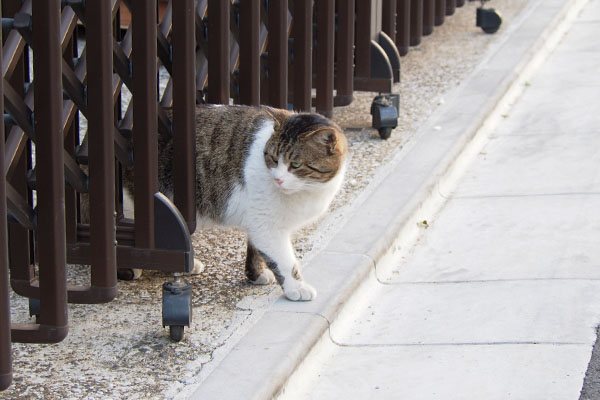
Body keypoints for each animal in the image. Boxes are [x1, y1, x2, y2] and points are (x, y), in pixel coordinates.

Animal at [125, 104, 346, 302]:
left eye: (296, 164)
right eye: (274, 158)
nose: (278, 179)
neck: (308, 189)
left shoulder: (258, 220)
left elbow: (255, 249)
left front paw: (255, 274)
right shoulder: (266, 223)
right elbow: (285, 260)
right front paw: (296, 288)